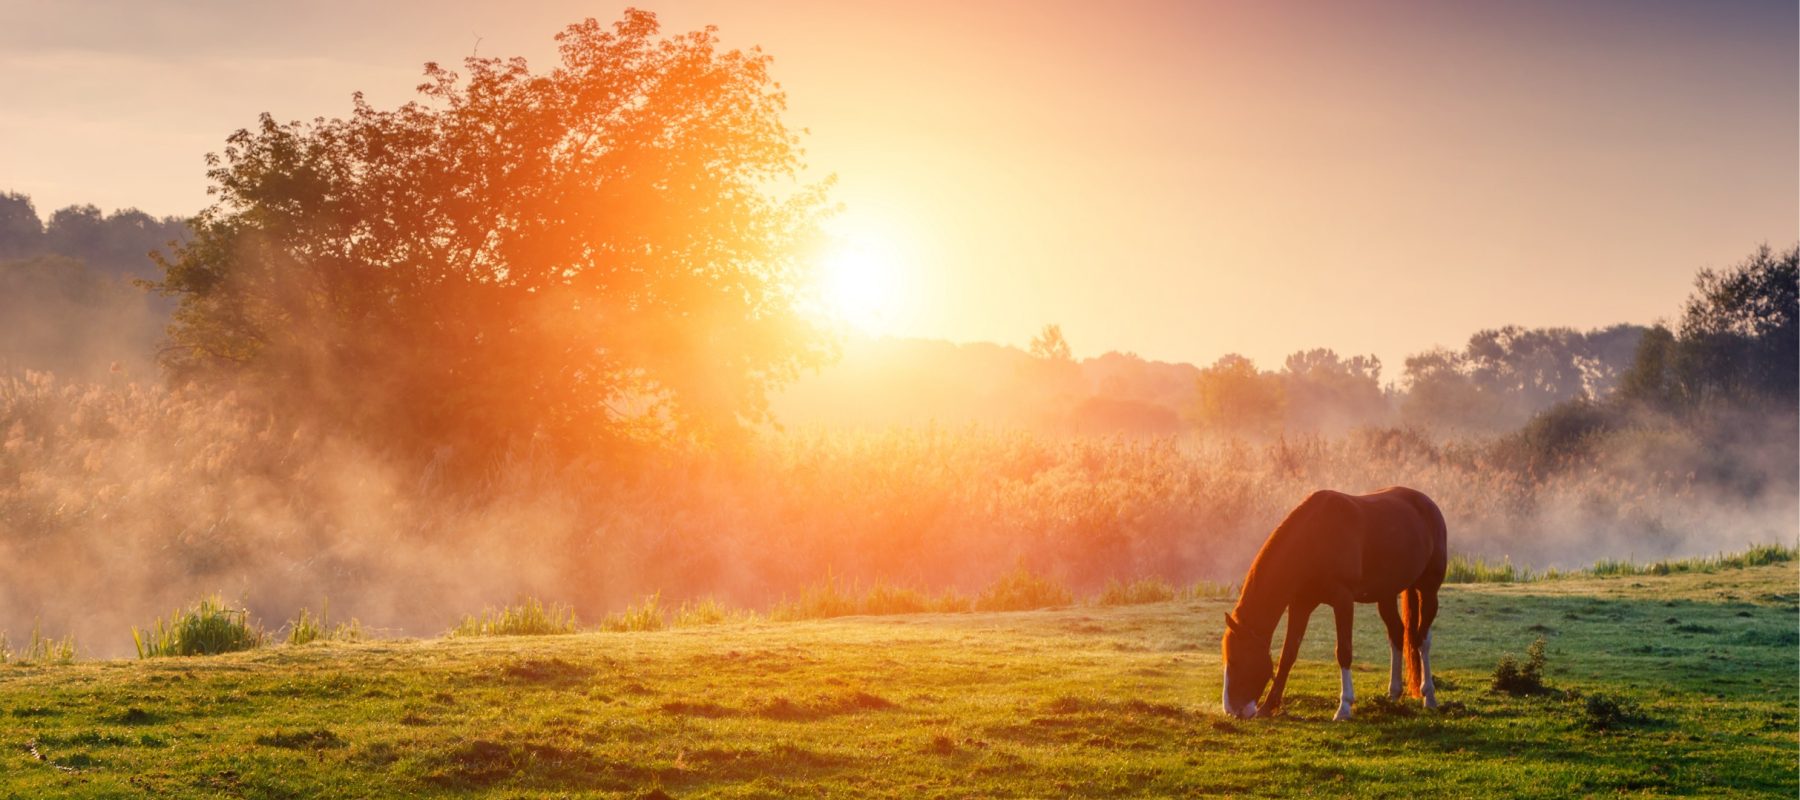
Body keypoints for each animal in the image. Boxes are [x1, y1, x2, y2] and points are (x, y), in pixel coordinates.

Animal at [1216, 482, 1454, 720]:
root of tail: (1427, 504)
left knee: (1422, 639)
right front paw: (1268, 706)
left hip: (1428, 590)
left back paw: (1429, 696)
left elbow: (1344, 651)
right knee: (1397, 633)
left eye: (1236, 659)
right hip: (1386, 594)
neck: (1315, 537)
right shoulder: (1300, 605)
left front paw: (1344, 707)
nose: (1231, 710)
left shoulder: (1343, 600)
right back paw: (1393, 695)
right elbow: (1288, 655)